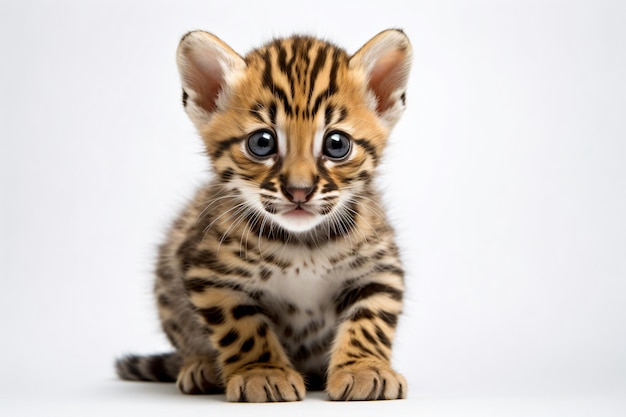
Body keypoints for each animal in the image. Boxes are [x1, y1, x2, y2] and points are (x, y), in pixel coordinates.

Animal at [116, 28, 410, 400]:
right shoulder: (210, 273)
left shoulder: (379, 268)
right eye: (262, 143)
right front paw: (263, 372)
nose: (299, 190)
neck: (304, 244)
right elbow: (242, 328)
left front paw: (364, 368)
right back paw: (200, 366)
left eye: (336, 145)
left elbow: (370, 321)